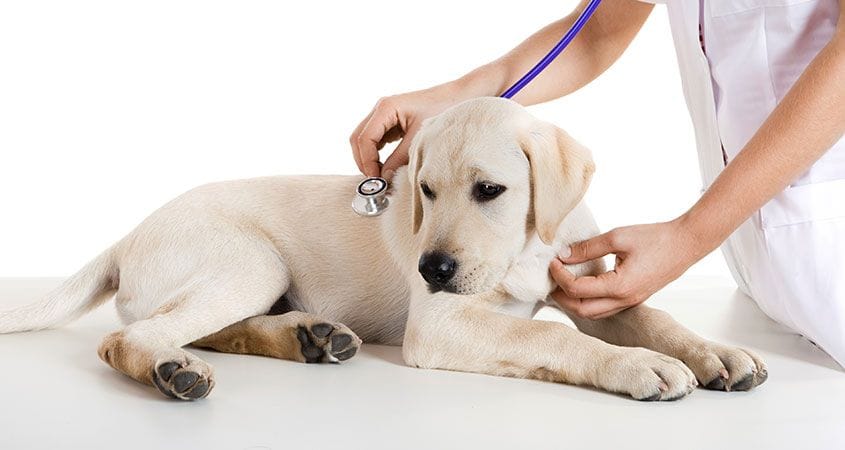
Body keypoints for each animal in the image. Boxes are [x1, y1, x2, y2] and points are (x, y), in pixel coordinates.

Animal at [0, 98, 764, 400]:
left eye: (489, 190)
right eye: (423, 189)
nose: (431, 268)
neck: (519, 252)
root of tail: (125, 235)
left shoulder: (589, 288)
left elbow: (653, 316)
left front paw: (716, 353)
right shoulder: (443, 323)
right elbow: (558, 340)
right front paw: (640, 368)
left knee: (208, 327)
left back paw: (308, 337)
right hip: (251, 260)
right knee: (133, 338)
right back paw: (173, 372)